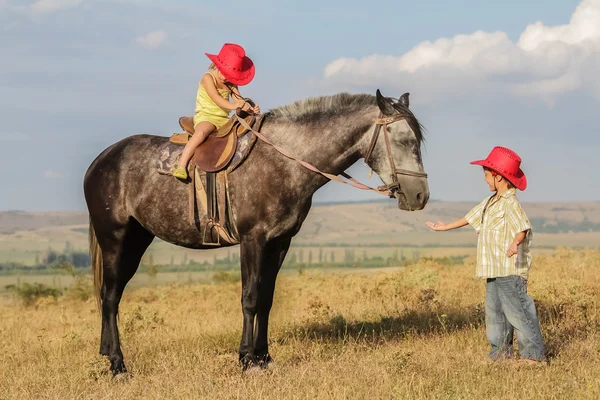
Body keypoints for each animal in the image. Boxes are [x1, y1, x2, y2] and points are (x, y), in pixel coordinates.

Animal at [83, 88, 432, 376]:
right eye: (403, 140)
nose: (420, 196)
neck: (285, 161)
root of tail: (100, 161)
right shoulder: (253, 239)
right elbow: (249, 298)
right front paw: (247, 361)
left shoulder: (279, 242)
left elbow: (266, 298)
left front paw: (264, 358)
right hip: (114, 238)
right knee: (109, 297)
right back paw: (118, 365)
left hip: (137, 240)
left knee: (112, 295)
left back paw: (107, 353)